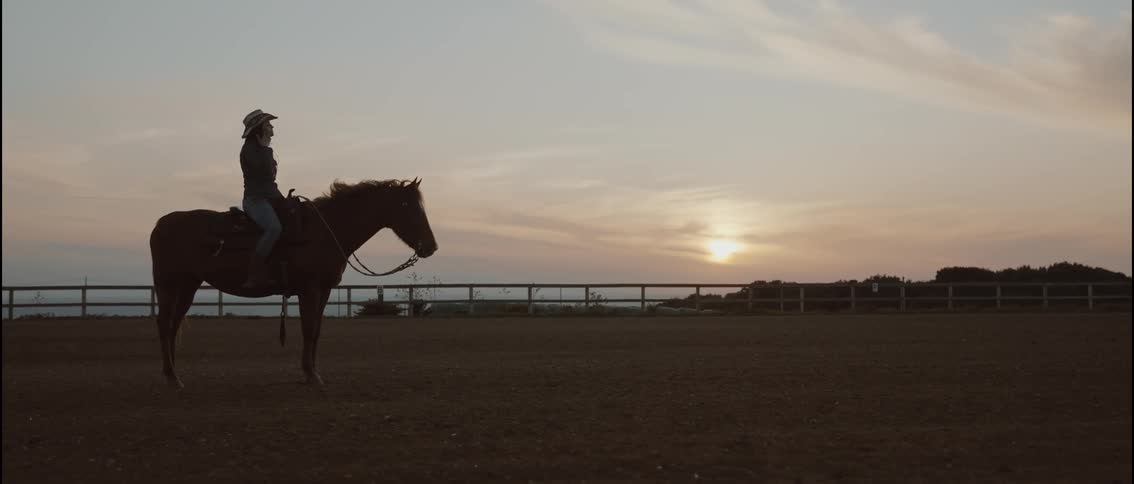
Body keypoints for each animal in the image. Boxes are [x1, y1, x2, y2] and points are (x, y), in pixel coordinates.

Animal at [148, 178, 437, 388]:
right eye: (407, 206)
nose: (431, 247)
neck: (324, 230)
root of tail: (160, 224)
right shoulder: (309, 289)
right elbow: (308, 330)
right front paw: (311, 375)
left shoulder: (323, 290)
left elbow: (316, 331)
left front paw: (313, 370)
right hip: (167, 284)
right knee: (164, 324)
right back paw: (172, 377)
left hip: (188, 284)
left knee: (173, 324)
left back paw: (171, 373)